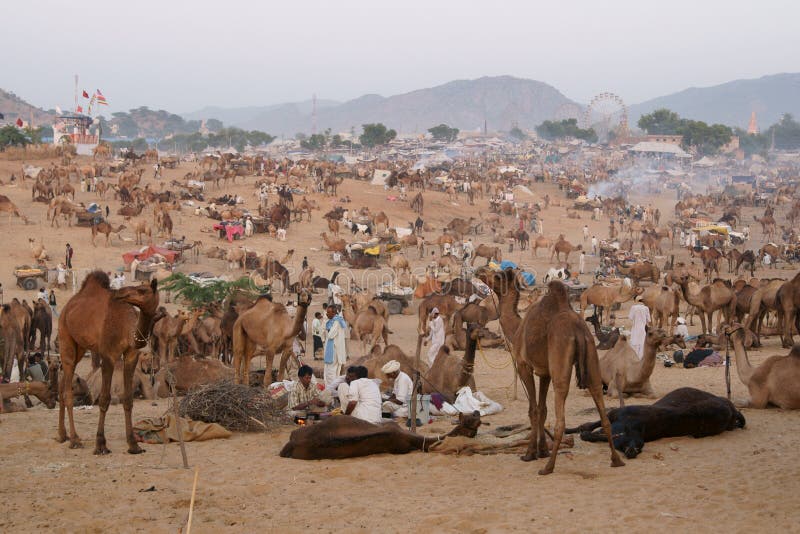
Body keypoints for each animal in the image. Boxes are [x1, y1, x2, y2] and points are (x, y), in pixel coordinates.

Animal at [56, 272, 161, 456]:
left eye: (142, 290)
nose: (120, 293)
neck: (126, 328)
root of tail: (68, 305)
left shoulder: (131, 355)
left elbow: (128, 399)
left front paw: (133, 445)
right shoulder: (108, 355)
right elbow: (104, 399)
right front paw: (100, 445)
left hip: (80, 347)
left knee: (63, 384)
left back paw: (63, 435)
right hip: (65, 336)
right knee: (68, 389)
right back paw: (75, 440)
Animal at [476, 270, 624, 476]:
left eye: (497, 276)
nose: (480, 271)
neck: (517, 328)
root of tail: (578, 331)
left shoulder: (524, 366)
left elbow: (533, 410)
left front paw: (530, 454)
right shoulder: (544, 372)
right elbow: (542, 409)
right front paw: (542, 451)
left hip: (560, 364)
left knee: (561, 415)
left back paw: (548, 467)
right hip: (592, 358)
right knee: (602, 409)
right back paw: (616, 460)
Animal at [564, 390, 748, 460]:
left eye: (641, 446)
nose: (633, 451)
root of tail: (732, 409)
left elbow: (589, 431)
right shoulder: (612, 417)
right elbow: (587, 426)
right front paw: (568, 430)